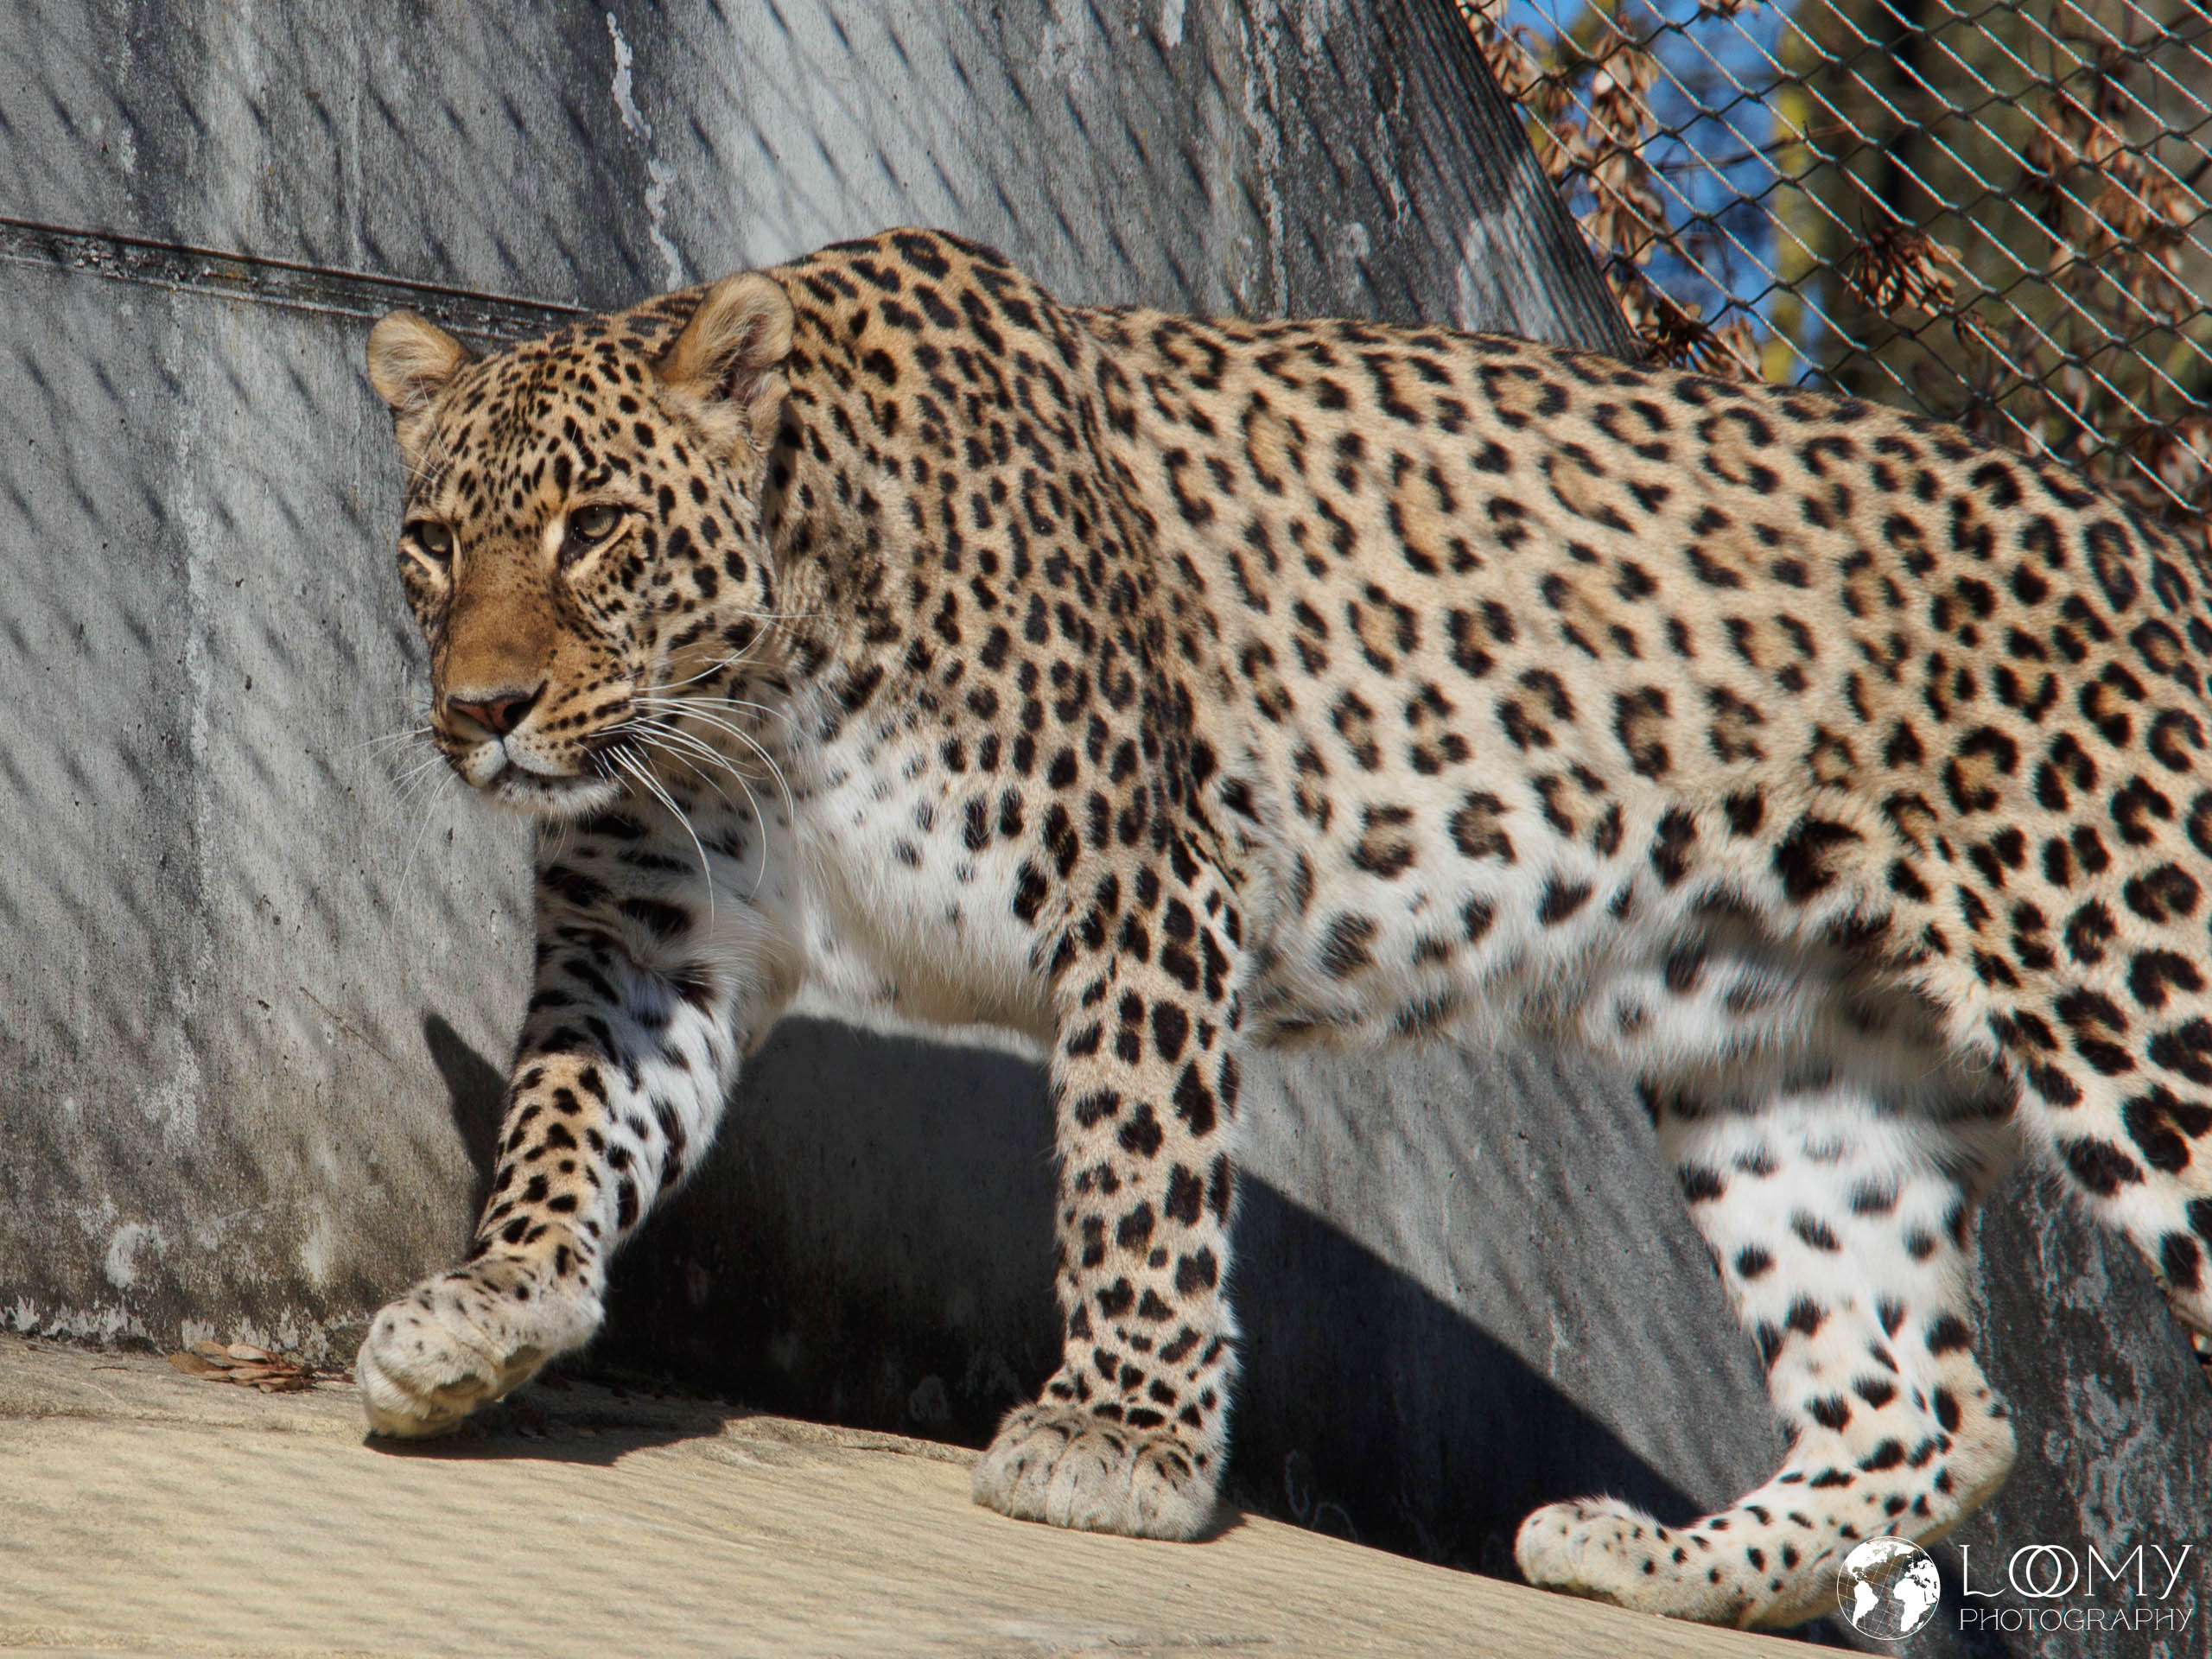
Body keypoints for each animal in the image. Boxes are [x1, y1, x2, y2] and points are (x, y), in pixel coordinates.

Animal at [355, 225, 2212, 1631]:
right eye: (431, 542)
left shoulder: (1141, 885)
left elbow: (1134, 1177)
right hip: (1786, 1059)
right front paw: (486, 1308)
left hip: (2137, 985)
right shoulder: (645, 947)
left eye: (597, 530)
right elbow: (564, 1128)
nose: (481, 714)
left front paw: (1123, 1442)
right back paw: (1664, 1564)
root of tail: (2154, 546)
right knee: (1933, 1409)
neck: (754, 700)